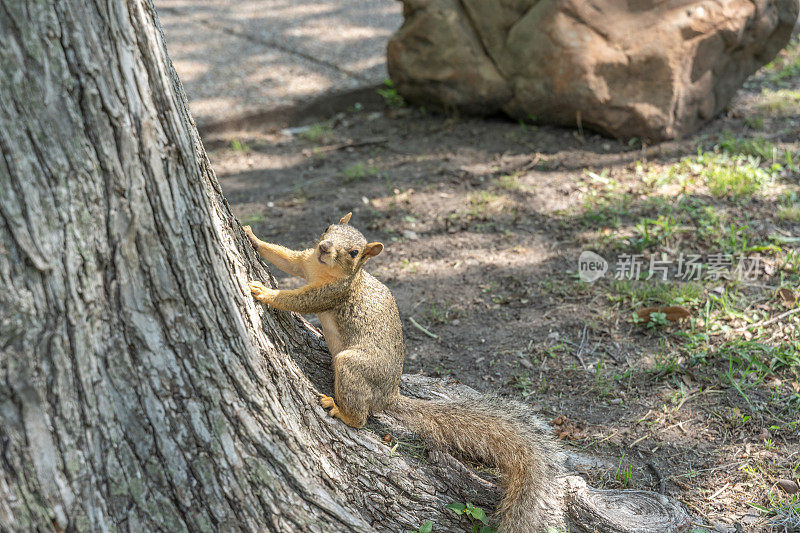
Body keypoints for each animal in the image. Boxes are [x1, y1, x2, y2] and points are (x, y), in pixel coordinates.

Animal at [244, 213, 564, 532]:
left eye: (354, 253)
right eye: (328, 229)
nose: (324, 247)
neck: (326, 270)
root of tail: (388, 396)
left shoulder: (332, 295)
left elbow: (298, 300)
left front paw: (266, 292)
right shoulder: (306, 263)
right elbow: (286, 258)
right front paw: (251, 235)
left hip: (353, 366)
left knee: (360, 418)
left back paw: (341, 410)